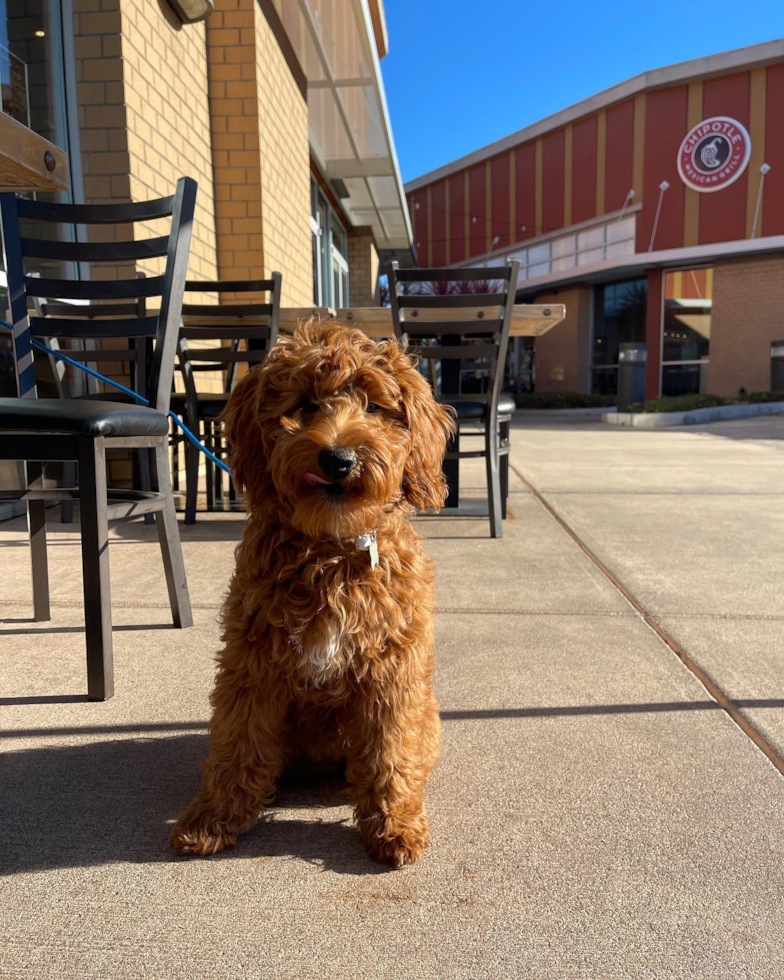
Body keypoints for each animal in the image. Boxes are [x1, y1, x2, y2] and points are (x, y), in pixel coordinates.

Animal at [171, 318, 454, 860]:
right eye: (304, 404)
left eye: (374, 407)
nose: (338, 459)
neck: (332, 547)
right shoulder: (251, 662)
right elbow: (239, 742)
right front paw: (213, 819)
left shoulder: (391, 670)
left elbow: (390, 748)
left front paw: (394, 825)